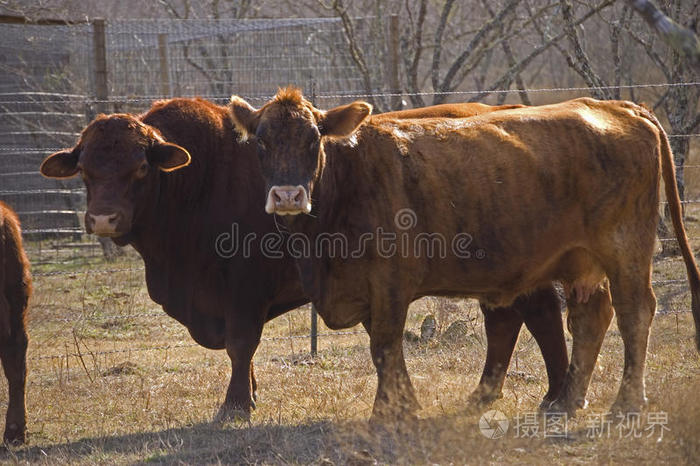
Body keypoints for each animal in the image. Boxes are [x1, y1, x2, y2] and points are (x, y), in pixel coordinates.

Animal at [230, 86, 700, 418]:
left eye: (314, 140)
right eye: (261, 143)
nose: (288, 196)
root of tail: (617, 106)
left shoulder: (390, 281)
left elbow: (384, 345)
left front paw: (389, 412)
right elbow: (385, 351)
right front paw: (404, 403)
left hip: (626, 249)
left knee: (634, 313)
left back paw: (627, 403)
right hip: (581, 261)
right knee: (589, 319)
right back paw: (567, 401)